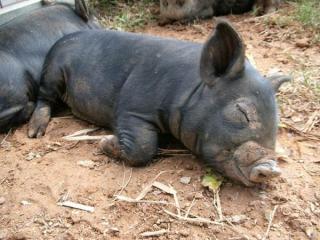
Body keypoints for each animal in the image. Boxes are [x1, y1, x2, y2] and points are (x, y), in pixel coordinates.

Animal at [28, 21, 292, 186]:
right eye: (242, 112)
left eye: (276, 124)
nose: (272, 168)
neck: (189, 89)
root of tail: (62, 38)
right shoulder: (131, 107)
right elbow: (144, 147)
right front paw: (104, 143)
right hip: (52, 73)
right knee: (44, 98)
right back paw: (35, 132)